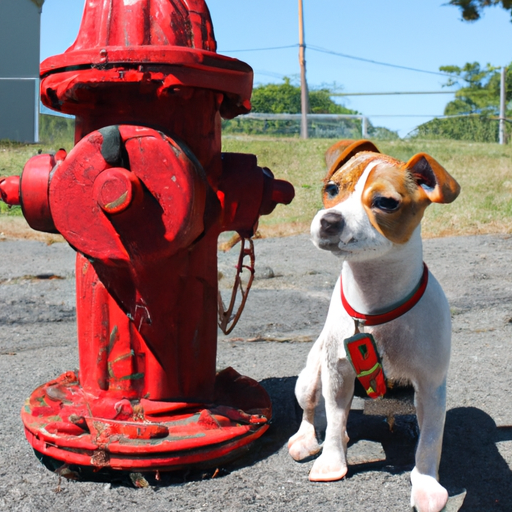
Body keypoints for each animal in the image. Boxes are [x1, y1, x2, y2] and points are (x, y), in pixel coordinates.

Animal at [290, 140, 462, 512]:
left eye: (385, 202)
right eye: (331, 189)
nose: (329, 220)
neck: (373, 304)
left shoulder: (431, 385)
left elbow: (431, 441)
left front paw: (426, 486)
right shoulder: (337, 373)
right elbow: (335, 419)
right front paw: (331, 462)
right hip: (309, 378)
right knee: (313, 412)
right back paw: (307, 438)